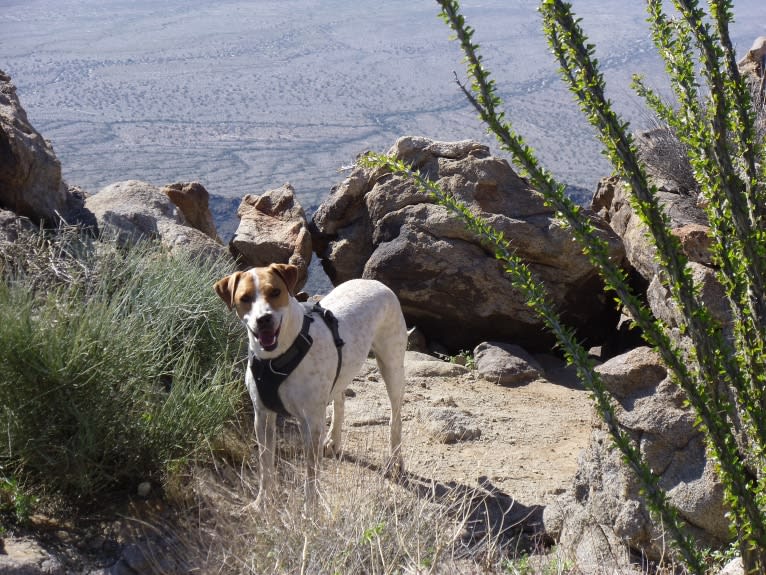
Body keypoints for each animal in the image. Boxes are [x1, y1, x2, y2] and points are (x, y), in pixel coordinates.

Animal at [213, 264, 412, 506]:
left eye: (275, 292)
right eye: (245, 298)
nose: (264, 319)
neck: (277, 358)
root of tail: (376, 283)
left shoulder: (311, 424)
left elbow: (311, 476)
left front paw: (310, 509)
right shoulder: (262, 416)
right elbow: (265, 464)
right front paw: (262, 502)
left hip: (392, 367)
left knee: (396, 417)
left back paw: (395, 461)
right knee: (340, 397)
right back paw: (334, 440)